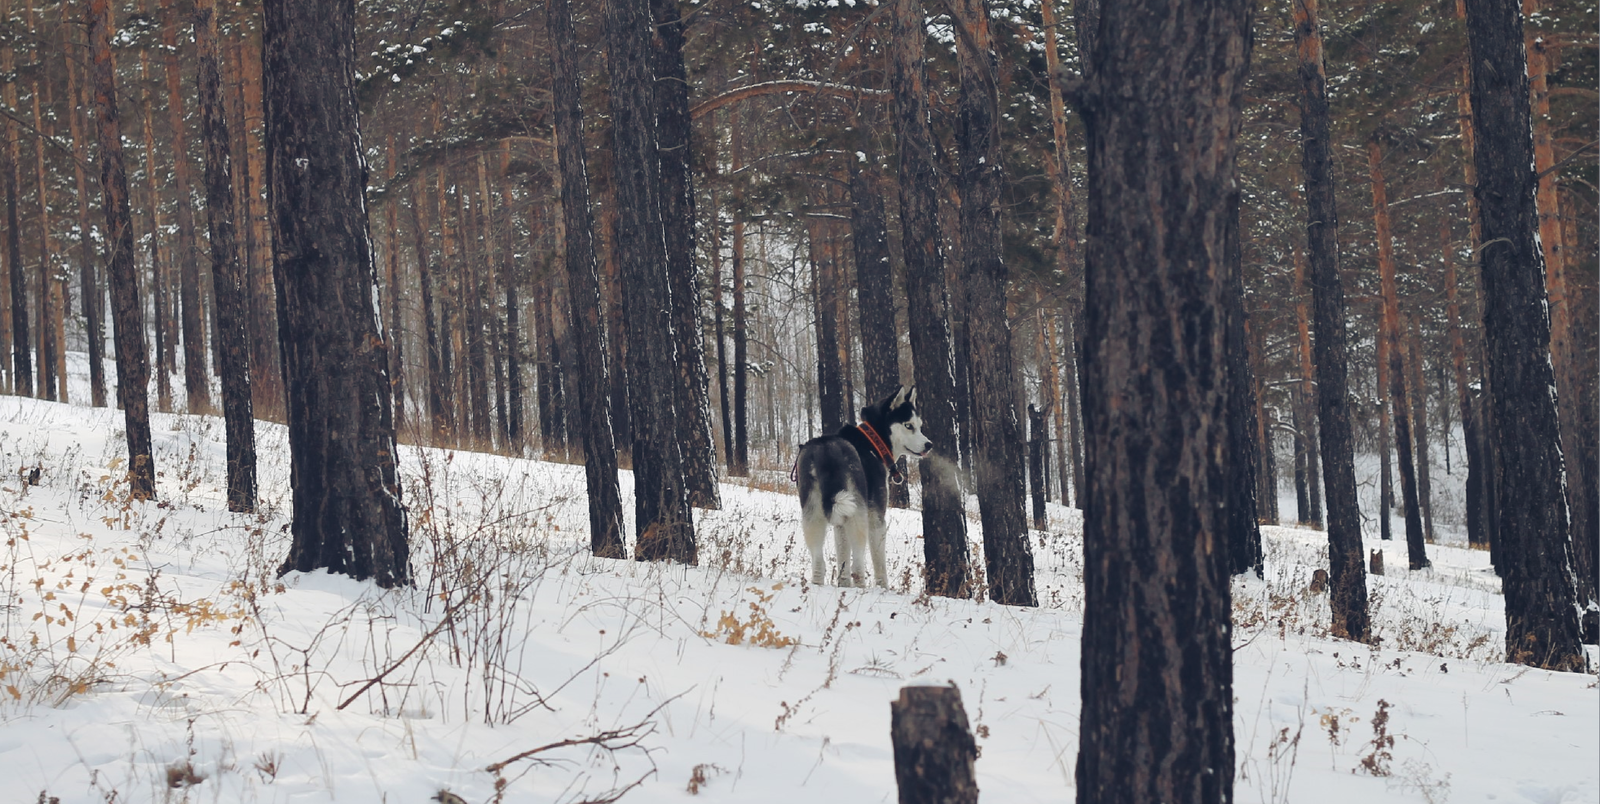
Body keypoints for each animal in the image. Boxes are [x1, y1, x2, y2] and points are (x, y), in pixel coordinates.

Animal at [793, 385, 934, 586]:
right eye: (909, 425)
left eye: (919, 426)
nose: (929, 445)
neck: (874, 443)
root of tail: (826, 450)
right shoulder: (876, 516)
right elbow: (879, 563)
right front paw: (883, 587)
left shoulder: (840, 523)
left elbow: (843, 556)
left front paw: (843, 585)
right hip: (857, 513)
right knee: (858, 564)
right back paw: (861, 586)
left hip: (814, 513)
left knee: (819, 561)